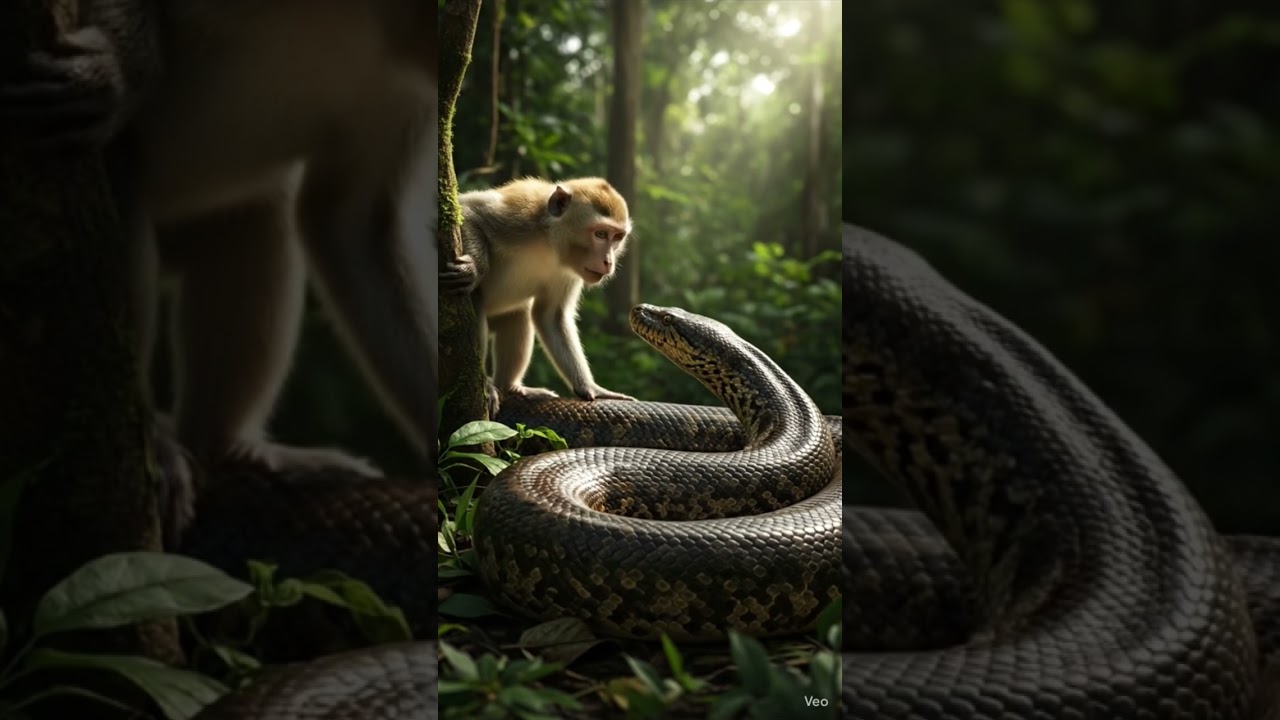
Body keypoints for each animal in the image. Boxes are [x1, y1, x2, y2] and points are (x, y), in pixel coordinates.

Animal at [0, 1, 439, 535]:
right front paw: (117, 72)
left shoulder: (410, 90)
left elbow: (352, 225)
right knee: (121, 164)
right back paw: (153, 439)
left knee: (258, 211)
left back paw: (228, 447)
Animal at [442, 177, 635, 414]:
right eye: (600, 234)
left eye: (617, 237)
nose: (608, 261)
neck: (550, 242)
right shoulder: (518, 217)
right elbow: (468, 209)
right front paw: (476, 268)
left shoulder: (568, 272)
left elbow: (551, 316)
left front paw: (591, 388)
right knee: (475, 300)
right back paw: (486, 385)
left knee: (519, 316)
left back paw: (511, 386)